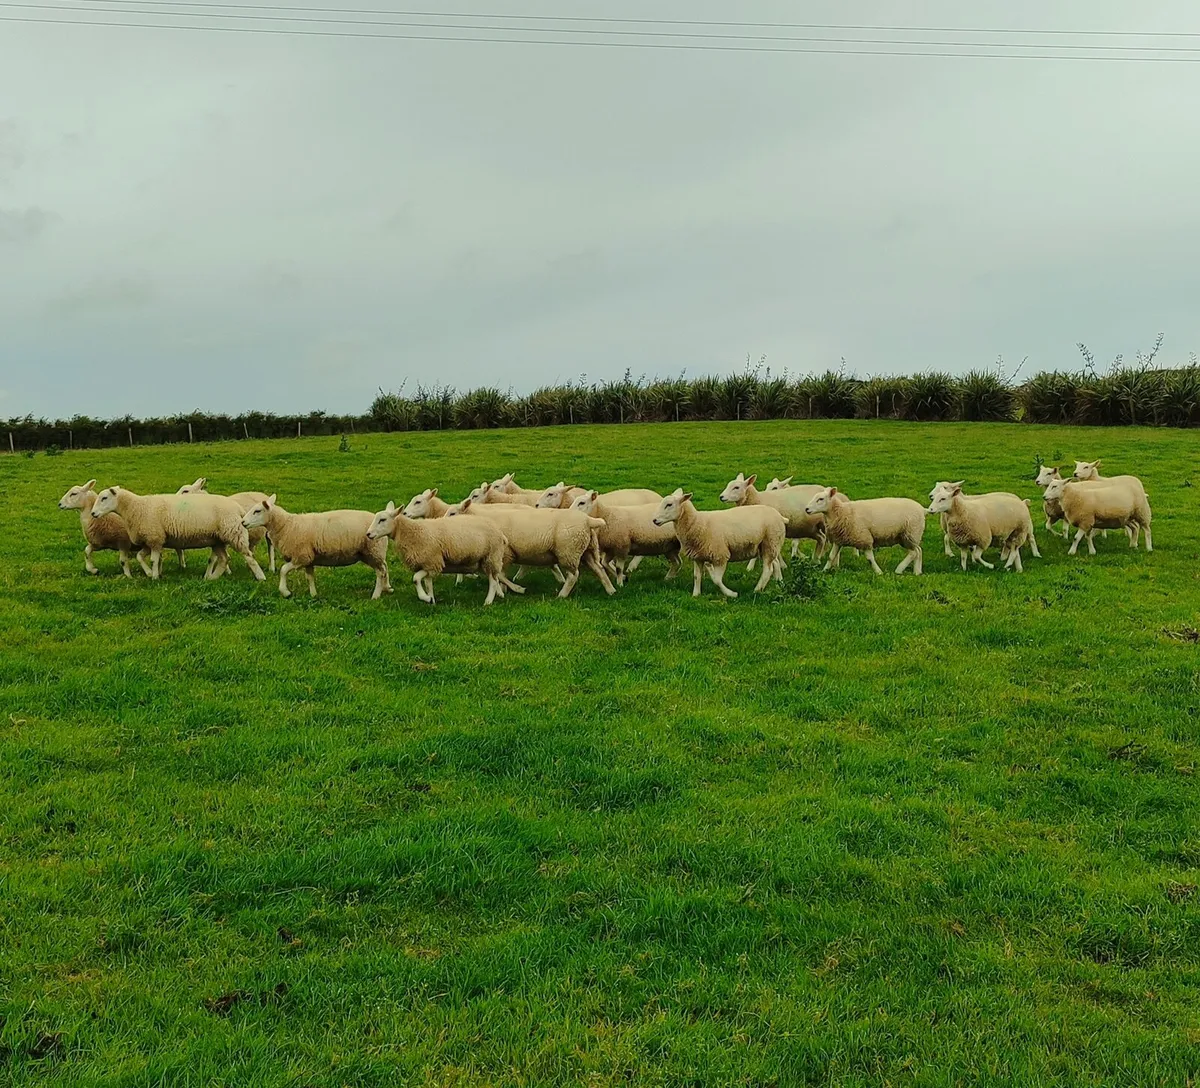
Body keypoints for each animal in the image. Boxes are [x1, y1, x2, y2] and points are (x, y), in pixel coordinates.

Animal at [90, 487, 265, 581]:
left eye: (104, 498)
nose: (92, 513)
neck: (136, 507)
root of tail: (238, 508)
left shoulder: (155, 538)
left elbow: (153, 560)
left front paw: (154, 576)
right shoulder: (151, 539)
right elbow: (140, 557)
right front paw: (150, 573)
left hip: (234, 533)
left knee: (248, 556)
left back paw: (260, 577)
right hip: (218, 540)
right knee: (224, 559)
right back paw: (212, 578)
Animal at [241, 495, 390, 598]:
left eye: (257, 511)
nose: (243, 522)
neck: (287, 525)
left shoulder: (301, 556)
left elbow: (283, 570)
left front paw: (285, 592)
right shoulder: (309, 559)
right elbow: (310, 577)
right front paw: (313, 594)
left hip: (373, 550)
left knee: (380, 572)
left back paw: (376, 595)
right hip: (373, 552)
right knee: (385, 566)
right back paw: (387, 587)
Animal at [367, 502, 509, 605]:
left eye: (382, 519)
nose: (368, 534)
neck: (412, 531)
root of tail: (500, 532)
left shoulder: (432, 561)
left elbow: (416, 579)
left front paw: (425, 598)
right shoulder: (426, 564)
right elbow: (428, 584)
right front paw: (431, 599)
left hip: (492, 556)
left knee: (493, 580)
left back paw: (488, 602)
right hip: (484, 559)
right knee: (494, 578)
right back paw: (498, 594)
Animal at [447, 499, 616, 598]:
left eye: (452, 513)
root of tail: (589, 520)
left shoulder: (503, 554)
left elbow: (499, 575)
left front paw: (514, 589)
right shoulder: (505, 555)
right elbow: (501, 575)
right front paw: (504, 590)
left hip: (569, 550)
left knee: (573, 575)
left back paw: (562, 595)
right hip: (587, 550)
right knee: (599, 570)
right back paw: (611, 590)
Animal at [650, 488, 785, 598]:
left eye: (669, 504)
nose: (654, 520)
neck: (699, 523)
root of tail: (780, 516)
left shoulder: (720, 556)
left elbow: (716, 579)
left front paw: (731, 594)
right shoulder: (698, 556)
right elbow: (697, 576)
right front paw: (696, 594)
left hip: (770, 542)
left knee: (767, 570)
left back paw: (757, 590)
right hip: (769, 545)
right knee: (775, 563)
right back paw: (779, 582)